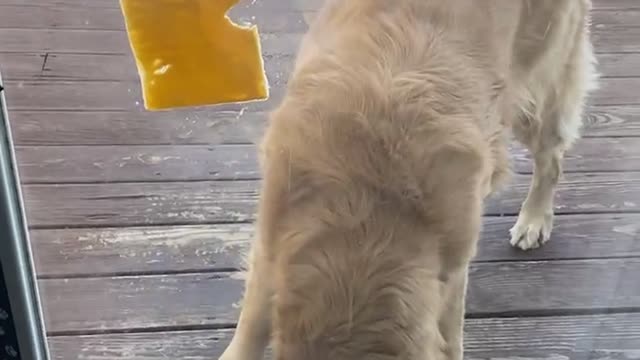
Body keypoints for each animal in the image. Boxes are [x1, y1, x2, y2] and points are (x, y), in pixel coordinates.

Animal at [219, 0, 596, 358]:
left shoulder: (452, 268)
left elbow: (449, 335)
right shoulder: (270, 240)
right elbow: (251, 322)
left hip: (535, 89)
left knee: (551, 160)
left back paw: (534, 219)